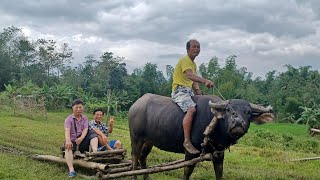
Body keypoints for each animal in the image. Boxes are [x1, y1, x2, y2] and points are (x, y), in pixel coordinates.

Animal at [129, 93, 274, 179]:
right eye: (228, 110)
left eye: (248, 112)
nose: (238, 122)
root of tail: (135, 105)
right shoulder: (190, 154)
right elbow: (187, 173)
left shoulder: (219, 154)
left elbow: (219, 174)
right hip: (136, 138)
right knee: (135, 159)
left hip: (149, 141)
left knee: (142, 158)